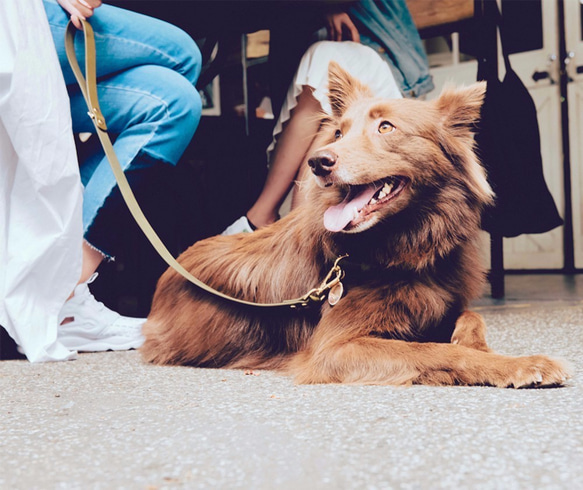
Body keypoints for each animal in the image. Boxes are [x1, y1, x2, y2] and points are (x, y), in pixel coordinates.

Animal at [140, 63, 572, 388]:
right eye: (338, 132)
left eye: (386, 128)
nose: (318, 162)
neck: (410, 245)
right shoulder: (335, 348)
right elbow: (437, 350)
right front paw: (518, 364)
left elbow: (471, 317)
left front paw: (483, 347)